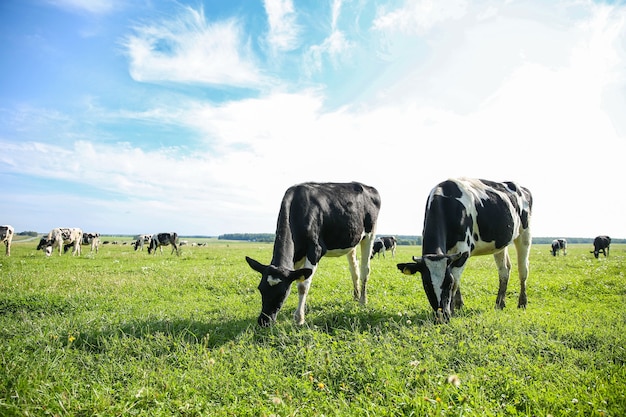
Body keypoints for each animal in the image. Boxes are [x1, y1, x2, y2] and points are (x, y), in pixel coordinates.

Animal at [244, 180, 380, 326]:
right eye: (260, 289)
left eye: (282, 293)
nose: (264, 321)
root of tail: (366, 186)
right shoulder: (297, 256)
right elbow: (300, 280)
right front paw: (303, 310)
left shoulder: (315, 250)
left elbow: (303, 286)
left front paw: (299, 318)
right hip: (351, 240)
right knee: (354, 270)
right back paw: (356, 297)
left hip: (369, 235)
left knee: (365, 269)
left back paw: (363, 301)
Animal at [398, 176, 528, 322]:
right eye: (426, 284)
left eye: (448, 283)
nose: (441, 316)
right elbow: (457, 280)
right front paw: (458, 306)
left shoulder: (464, 251)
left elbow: (456, 280)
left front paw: (452, 310)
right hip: (499, 244)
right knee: (504, 270)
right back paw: (499, 304)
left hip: (525, 234)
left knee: (523, 270)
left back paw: (522, 303)